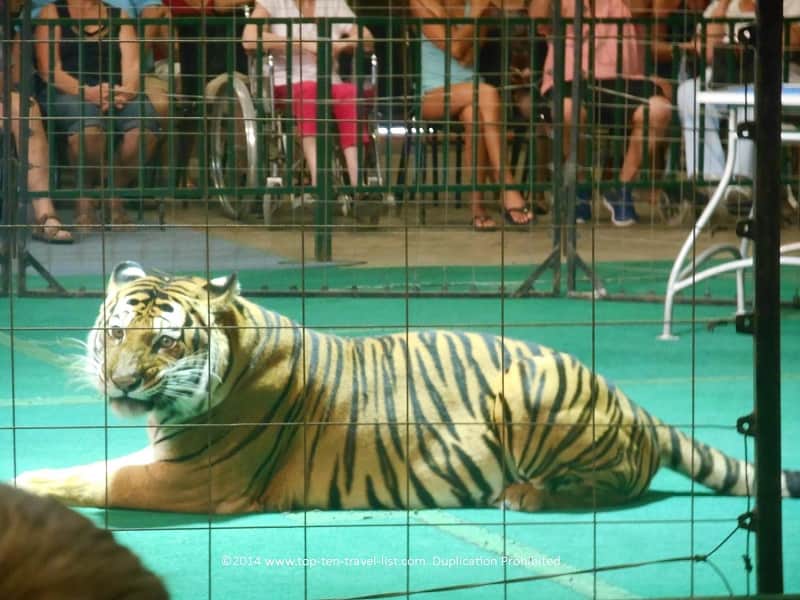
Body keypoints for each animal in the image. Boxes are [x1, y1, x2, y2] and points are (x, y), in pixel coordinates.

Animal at [13, 261, 800, 513]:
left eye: (167, 342)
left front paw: (25, 484)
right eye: (117, 333)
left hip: (530, 390)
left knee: (612, 485)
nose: (122, 382)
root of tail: (627, 398)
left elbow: (99, 476)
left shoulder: (193, 480)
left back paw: (527, 496)